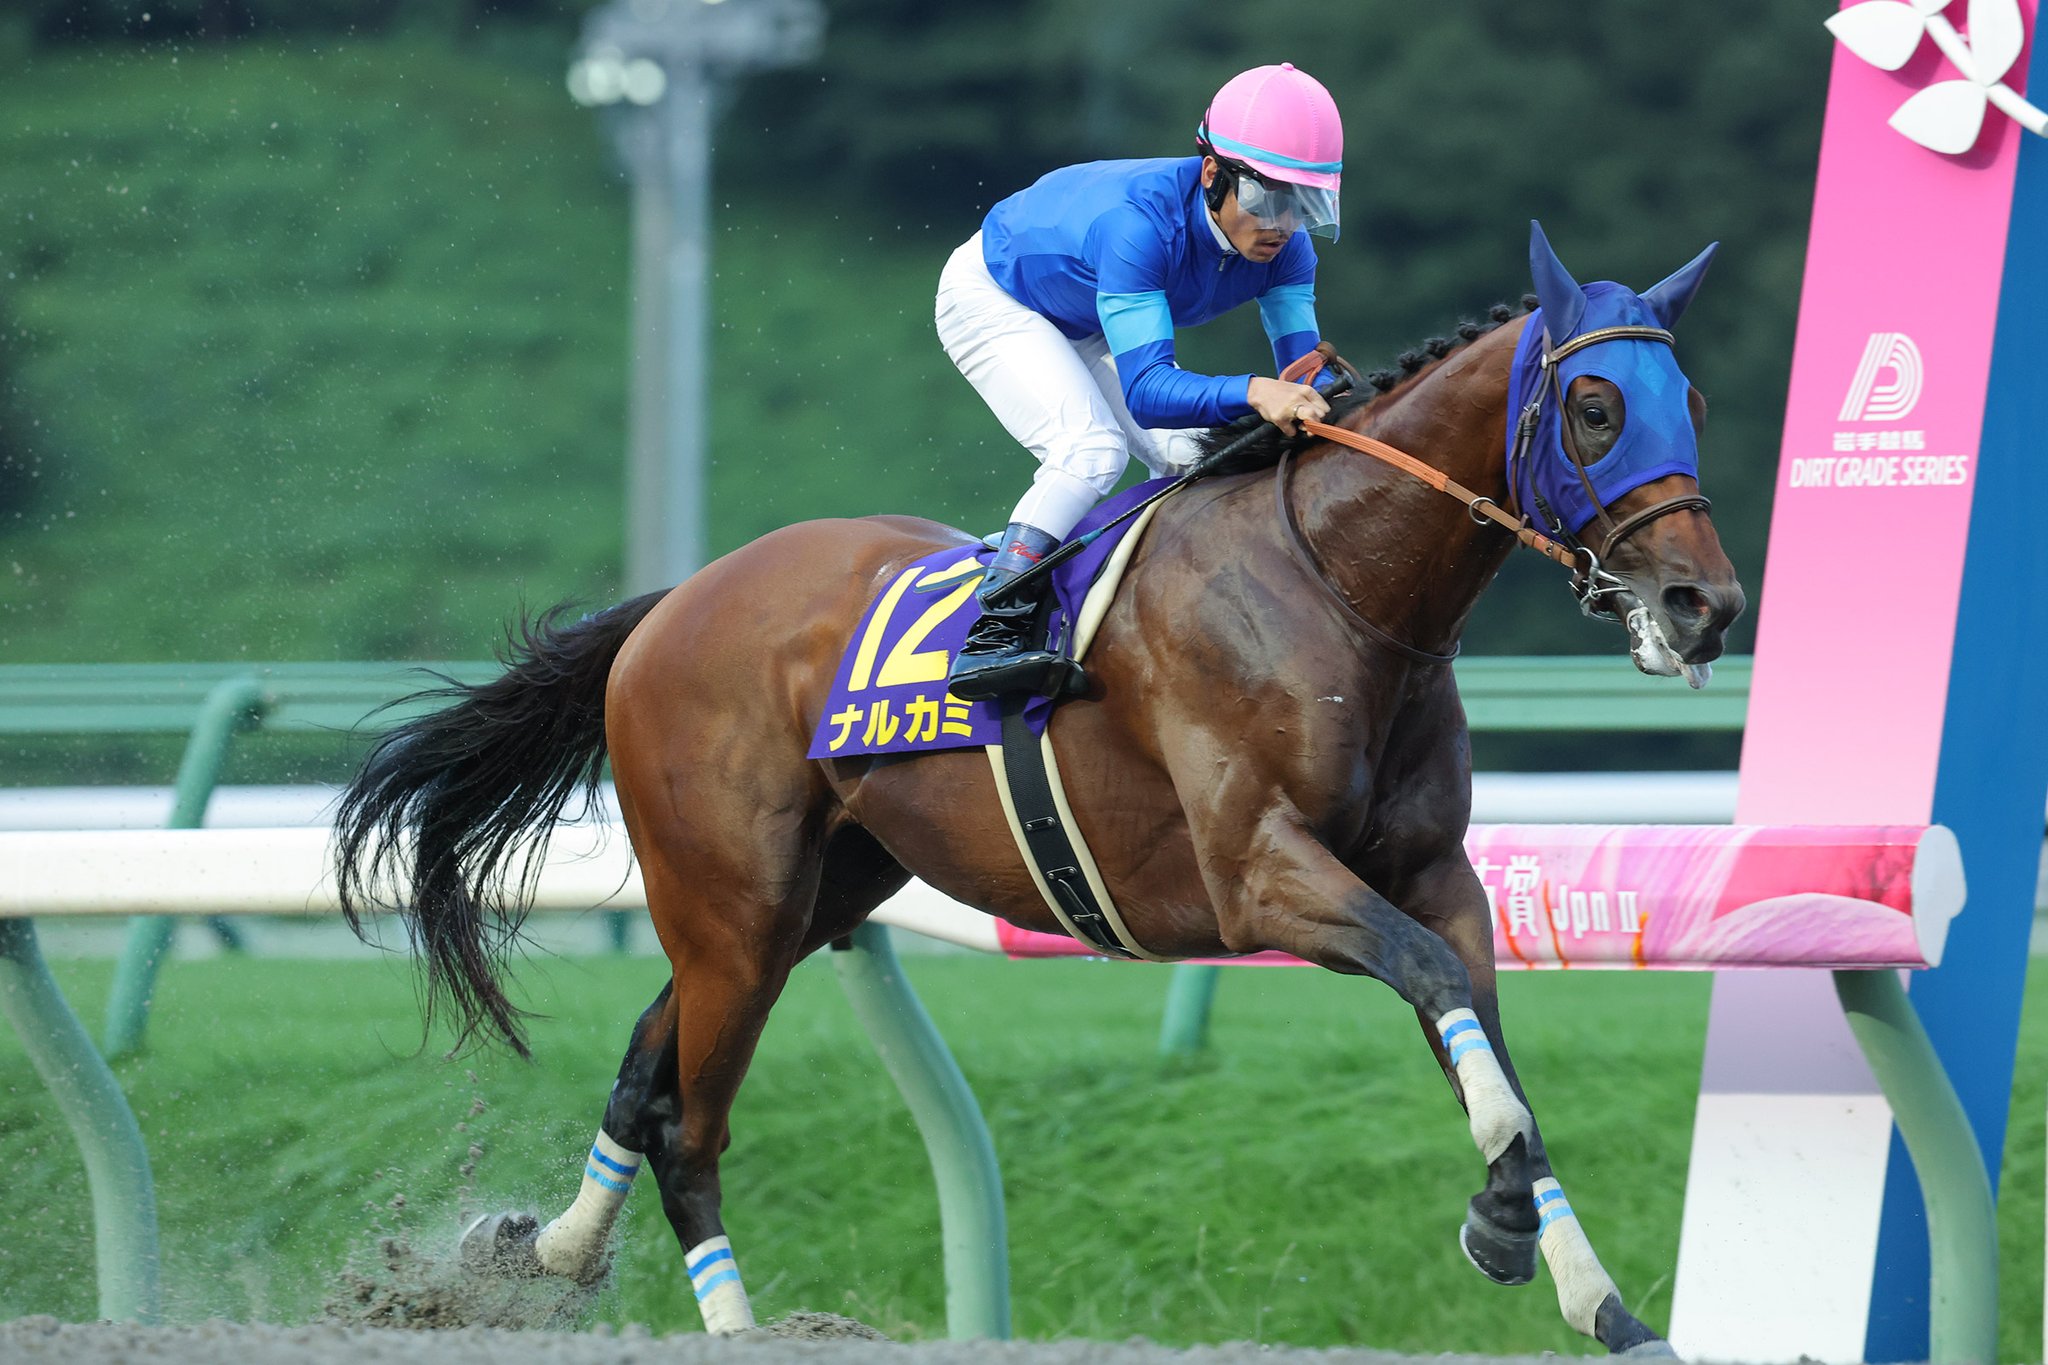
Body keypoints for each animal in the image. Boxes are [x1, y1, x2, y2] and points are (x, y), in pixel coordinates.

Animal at [333, 222, 1744, 1354]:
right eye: (1596, 408)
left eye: (1693, 398)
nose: (1704, 605)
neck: (1341, 586)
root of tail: (676, 601)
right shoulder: (1257, 878)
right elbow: (1438, 986)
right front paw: (1509, 1229)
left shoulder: (1433, 874)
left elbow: (1481, 1040)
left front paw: (1589, 1292)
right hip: (729, 902)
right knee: (691, 1126)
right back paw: (723, 1326)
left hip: (802, 900)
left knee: (645, 1066)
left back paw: (552, 1251)